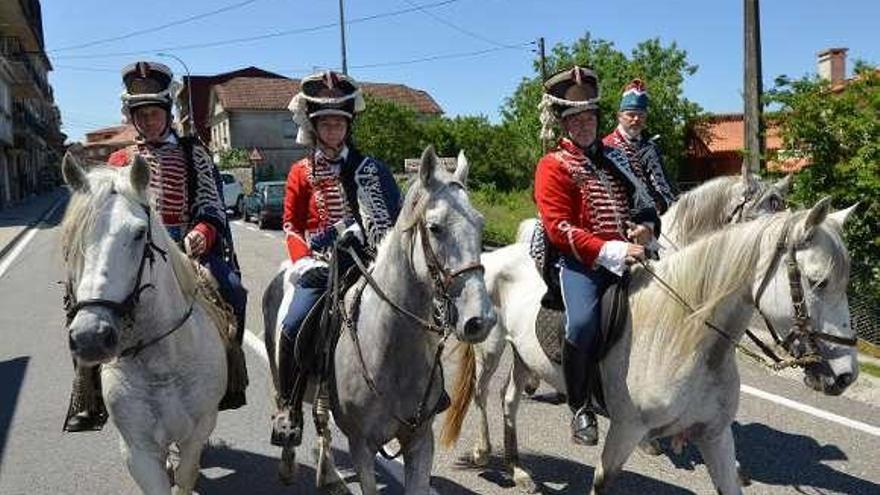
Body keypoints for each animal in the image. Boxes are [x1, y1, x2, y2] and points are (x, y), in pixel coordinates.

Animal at [63, 153, 229, 494]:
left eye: (139, 233)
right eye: (72, 241)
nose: (90, 337)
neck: (163, 365)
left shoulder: (196, 434)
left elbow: (185, 474)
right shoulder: (138, 450)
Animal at [262, 148, 498, 495]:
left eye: (480, 224)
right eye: (435, 227)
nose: (480, 319)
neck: (391, 349)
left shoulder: (419, 441)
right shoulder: (362, 445)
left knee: (322, 421)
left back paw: (327, 474)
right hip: (280, 371)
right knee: (287, 403)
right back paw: (288, 455)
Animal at [444, 197, 856, 492]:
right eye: (817, 281)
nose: (847, 376)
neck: (689, 339)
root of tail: (494, 255)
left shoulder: (715, 436)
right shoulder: (625, 431)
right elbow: (603, 482)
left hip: (524, 356)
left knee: (509, 401)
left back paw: (518, 469)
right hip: (490, 348)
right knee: (482, 395)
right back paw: (483, 453)